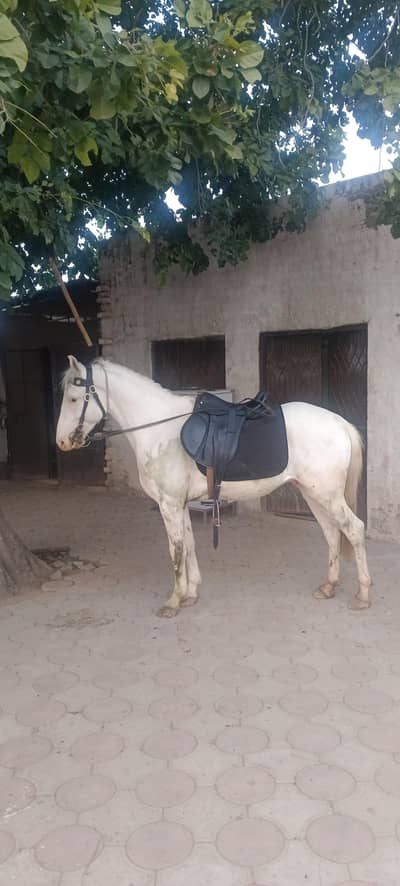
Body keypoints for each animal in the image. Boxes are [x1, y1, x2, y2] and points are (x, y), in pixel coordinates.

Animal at [56, 356, 372, 617]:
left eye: (73, 398)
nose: (61, 442)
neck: (160, 430)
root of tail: (339, 422)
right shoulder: (180, 503)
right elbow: (189, 545)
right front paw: (190, 594)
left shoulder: (169, 504)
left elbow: (176, 550)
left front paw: (173, 601)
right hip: (313, 493)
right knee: (332, 533)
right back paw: (329, 586)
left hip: (327, 495)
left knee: (354, 530)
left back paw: (362, 595)